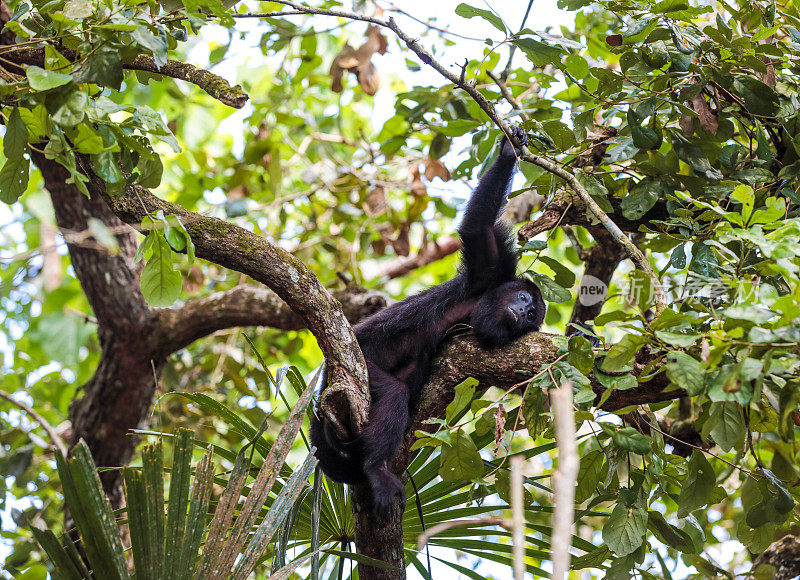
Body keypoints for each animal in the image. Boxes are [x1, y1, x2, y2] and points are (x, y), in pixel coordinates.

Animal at [310, 127, 548, 516]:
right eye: (525, 299)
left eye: (531, 317)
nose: (523, 312)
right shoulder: (491, 272)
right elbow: (477, 227)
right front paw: (509, 150)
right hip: (352, 367)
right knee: (392, 393)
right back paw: (376, 469)